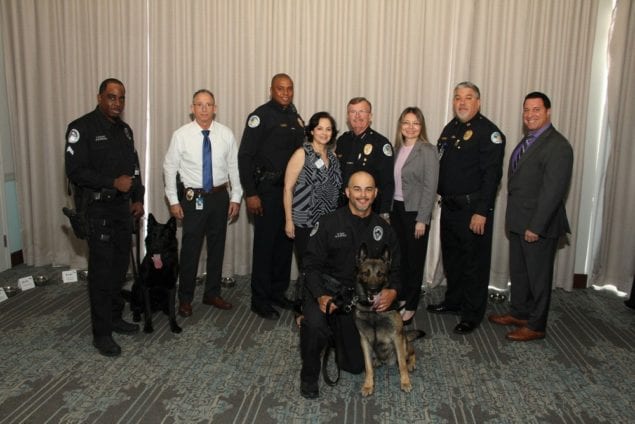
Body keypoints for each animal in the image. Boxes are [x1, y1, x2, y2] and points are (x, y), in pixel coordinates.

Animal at [356, 243, 424, 396]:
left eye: (380, 274)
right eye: (365, 273)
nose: (373, 290)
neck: (373, 311)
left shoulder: (397, 338)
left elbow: (402, 365)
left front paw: (405, 382)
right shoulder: (364, 341)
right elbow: (368, 367)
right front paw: (368, 385)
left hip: (404, 344)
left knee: (411, 353)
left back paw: (411, 363)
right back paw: (377, 361)